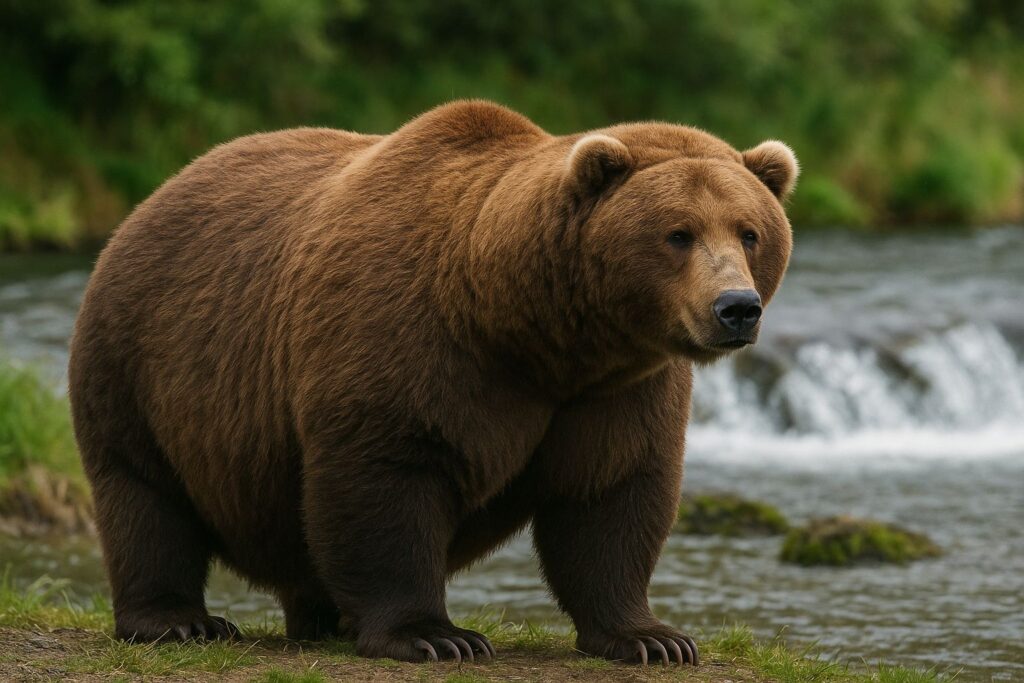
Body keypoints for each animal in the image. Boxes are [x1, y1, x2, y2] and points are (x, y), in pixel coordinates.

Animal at [68, 100, 797, 666]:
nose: (735, 307)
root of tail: (157, 192)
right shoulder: (412, 344)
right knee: (145, 495)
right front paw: (435, 635)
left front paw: (653, 636)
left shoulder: (616, 388)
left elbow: (611, 493)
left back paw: (321, 618)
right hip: (144, 361)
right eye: (678, 233)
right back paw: (177, 620)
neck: (529, 330)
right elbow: (388, 477)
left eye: (749, 231)